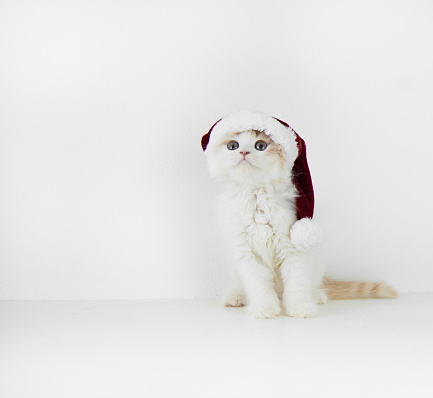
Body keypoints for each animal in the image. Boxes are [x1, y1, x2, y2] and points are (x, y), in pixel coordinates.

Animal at [201, 110, 396, 318]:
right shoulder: (246, 253)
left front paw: (300, 307)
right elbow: (259, 286)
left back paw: (316, 295)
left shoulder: (293, 248)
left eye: (260, 146)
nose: (243, 152)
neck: (257, 195)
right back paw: (236, 297)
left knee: (311, 284)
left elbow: (296, 283)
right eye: (232, 146)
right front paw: (264, 308)